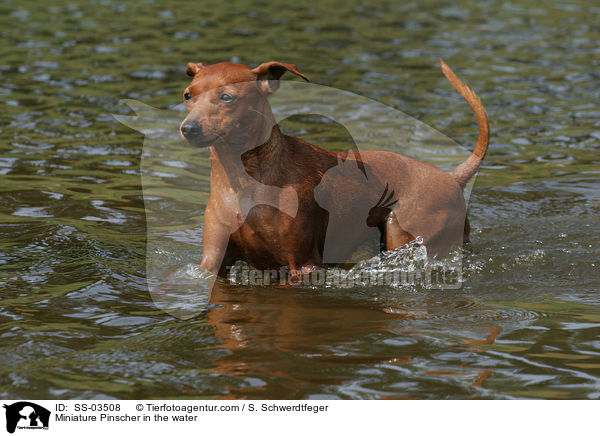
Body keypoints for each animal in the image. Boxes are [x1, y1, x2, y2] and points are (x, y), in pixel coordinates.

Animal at [180, 59, 490, 278]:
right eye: (187, 95)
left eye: (227, 97)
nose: (188, 128)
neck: (242, 179)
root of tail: (451, 177)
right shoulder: (212, 262)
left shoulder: (304, 265)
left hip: (401, 232)